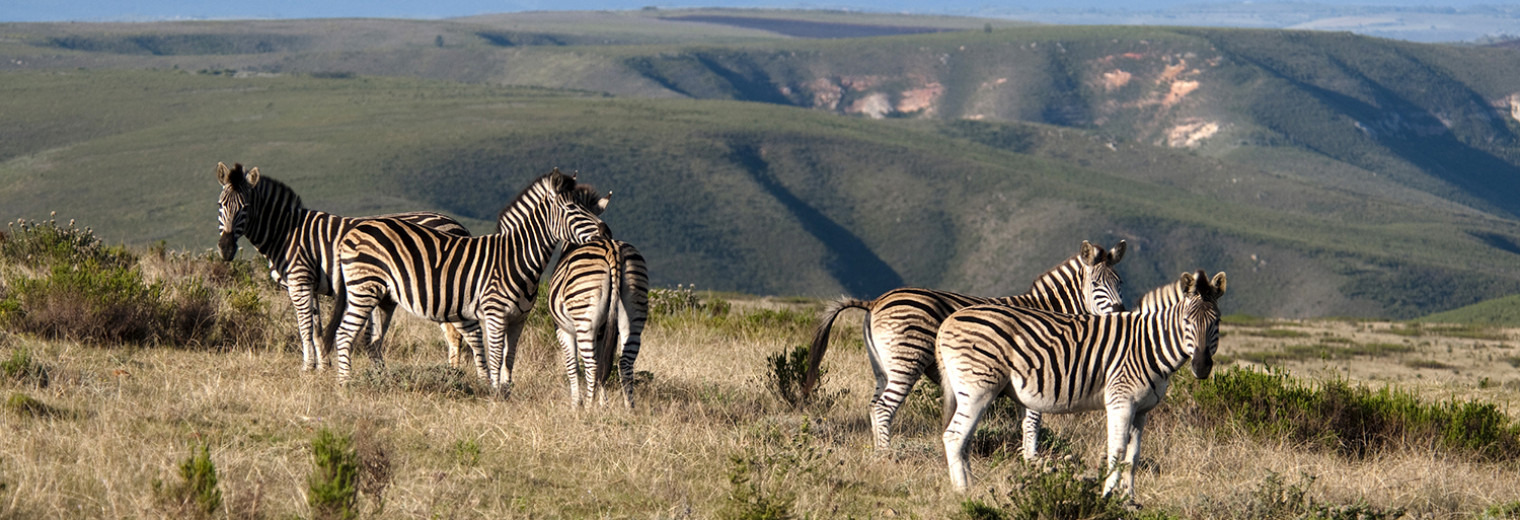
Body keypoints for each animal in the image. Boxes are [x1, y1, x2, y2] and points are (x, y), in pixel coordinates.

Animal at [211, 161, 465, 369]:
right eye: (220, 205)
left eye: (245, 207)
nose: (226, 249)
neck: (284, 233)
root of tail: (456, 224)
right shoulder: (311, 285)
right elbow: (316, 328)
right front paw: (323, 366)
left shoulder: (299, 280)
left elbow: (304, 327)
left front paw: (307, 368)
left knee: (454, 334)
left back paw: (453, 375)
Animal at [326, 168, 604, 392]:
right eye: (572, 209)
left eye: (589, 207)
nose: (605, 230)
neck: (517, 258)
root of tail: (353, 231)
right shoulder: (494, 314)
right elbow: (495, 357)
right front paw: (494, 393)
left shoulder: (519, 319)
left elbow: (509, 358)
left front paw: (506, 391)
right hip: (364, 288)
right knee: (345, 333)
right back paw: (345, 384)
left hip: (384, 297)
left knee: (372, 341)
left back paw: (379, 381)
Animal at [550, 218, 650, 407]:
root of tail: (613, 249)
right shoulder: (603, 333)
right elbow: (604, 366)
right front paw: (604, 405)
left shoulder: (563, 330)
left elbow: (572, 365)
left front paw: (576, 404)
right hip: (634, 309)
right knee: (624, 363)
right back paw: (630, 408)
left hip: (585, 320)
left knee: (592, 365)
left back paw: (588, 408)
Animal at [802, 237, 1124, 450]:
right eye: (1096, 285)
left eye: (1120, 283)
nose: (1120, 311)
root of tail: (875, 301)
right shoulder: (1037, 370)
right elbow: (1033, 423)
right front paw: (1034, 463)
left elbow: (1027, 423)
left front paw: (1028, 462)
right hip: (907, 359)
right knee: (883, 409)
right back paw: (886, 456)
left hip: (882, 366)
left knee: (873, 407)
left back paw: (876, 452)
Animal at [930, 270, 1228, 498]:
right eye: (1187, 321)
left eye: (1217, 321)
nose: (1201, 367)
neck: (1147, 346)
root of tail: (948, 321)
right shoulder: (1120, 400)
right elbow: (1116, 451)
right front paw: (1107, 497)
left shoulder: (1142, 410)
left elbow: (1133, 457)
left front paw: (1130, 499)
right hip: (978, 387)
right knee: (954, 436)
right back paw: (964, 494)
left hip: (971, 391)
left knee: (964, 439)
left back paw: (971, 488)